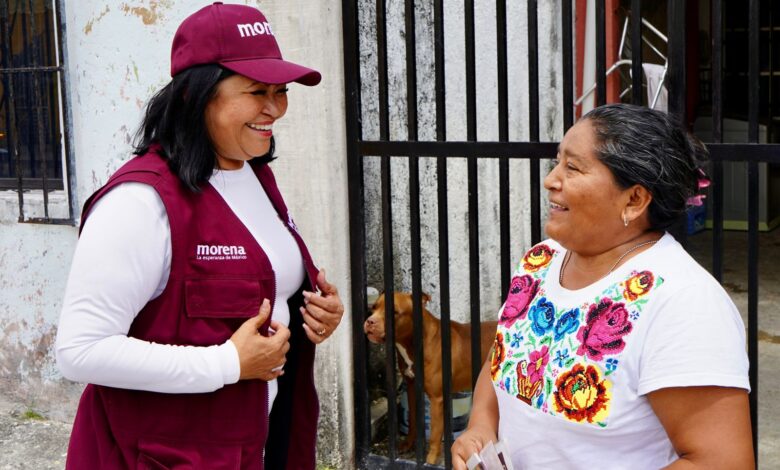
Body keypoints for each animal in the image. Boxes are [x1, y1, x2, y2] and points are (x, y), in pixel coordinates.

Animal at [364, 292, 496, 464]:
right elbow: (413, 420)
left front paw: (431, 459)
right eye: (373, 308)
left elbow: (434, 433)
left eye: (394, 312)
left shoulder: (436, 399)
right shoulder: (412, 388)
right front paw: (408, 444)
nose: (369, 321)